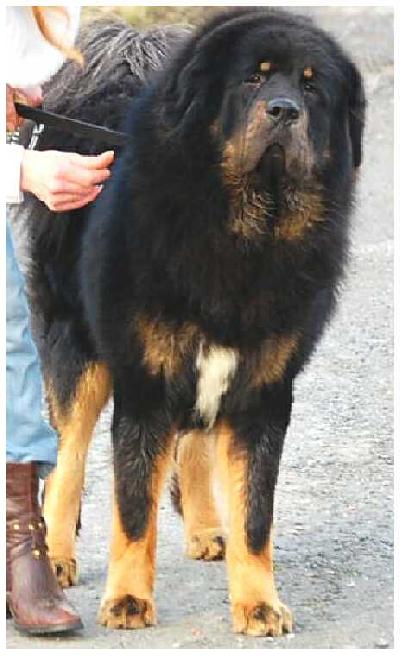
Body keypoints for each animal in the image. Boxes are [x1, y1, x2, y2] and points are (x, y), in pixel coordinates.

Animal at [21, 8, 365, 636]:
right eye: (253, 79)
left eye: (312, 87)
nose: (284, 111)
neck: (243, 232)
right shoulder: (145, 382)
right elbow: (133, 507)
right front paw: (128, 600)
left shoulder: (263, 390)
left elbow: (255, 513)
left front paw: (258, 603)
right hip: (79, 349)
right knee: (67, 458)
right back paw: (55, 554)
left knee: (194, 444)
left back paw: (207, 528)